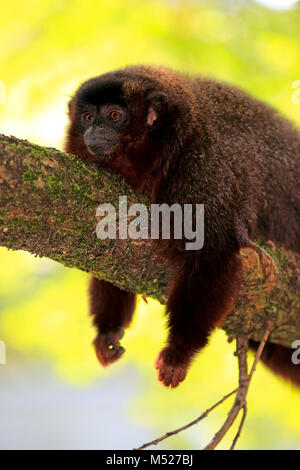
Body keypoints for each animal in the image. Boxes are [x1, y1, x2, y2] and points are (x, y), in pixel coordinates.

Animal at [65, 66, 300, 390]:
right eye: (88, 117)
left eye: (114, 115)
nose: (93, 131)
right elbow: (113, 260)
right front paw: (108, 329)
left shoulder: (201, 166)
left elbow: (212, 253)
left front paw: (178, 353)